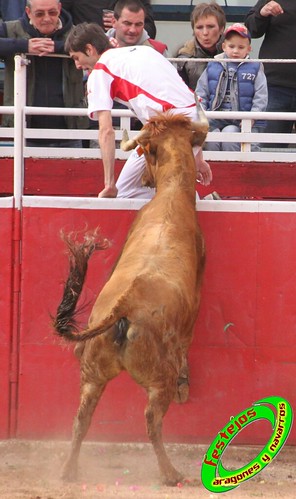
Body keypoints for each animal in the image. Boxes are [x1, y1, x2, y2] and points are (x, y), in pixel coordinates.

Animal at [53, 111, 209, 486]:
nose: (147, 179)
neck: (171, 195)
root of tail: (126, 305)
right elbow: (187, 342)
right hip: (159, 379)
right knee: (152, 419)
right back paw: (170, 472)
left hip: (92, 375)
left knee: (82, 417)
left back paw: (69, 469)